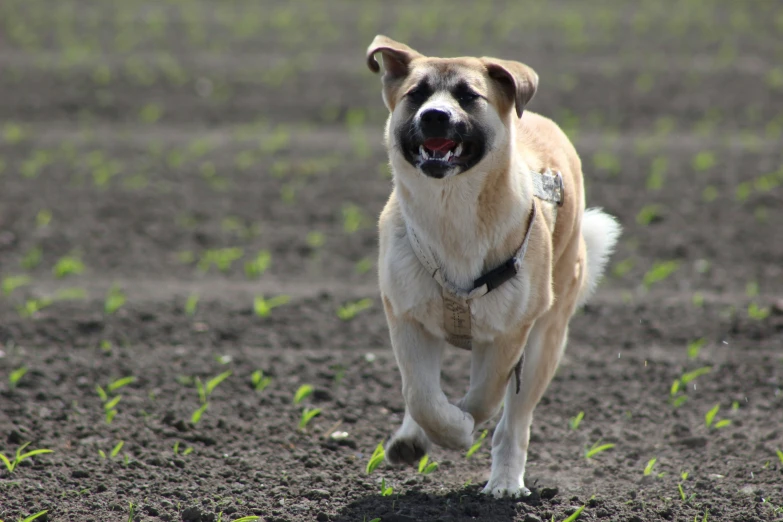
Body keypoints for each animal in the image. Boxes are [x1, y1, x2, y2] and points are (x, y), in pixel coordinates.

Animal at [364, 36, 620, 496]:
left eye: (469, 96)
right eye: (416, 94)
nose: (435, 116)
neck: (451, 211)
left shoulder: (509, 333)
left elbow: (485, 397)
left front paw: (462, 427)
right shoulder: (405, 315)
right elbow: (421, 395)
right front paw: (438, 429)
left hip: (546, 337)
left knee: (514, 419)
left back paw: (504, 481)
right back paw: (414, 437)